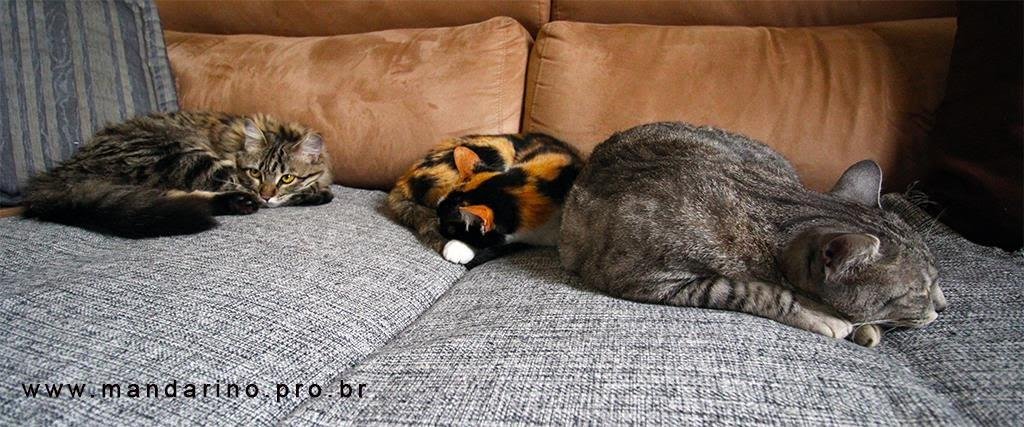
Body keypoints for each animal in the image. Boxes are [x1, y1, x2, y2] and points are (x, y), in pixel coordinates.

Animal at [22, 111, 334, 238]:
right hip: (181, 153)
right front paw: (315, 192)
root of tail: (67, 169)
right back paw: (241, 202)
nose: (266, 194)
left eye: (286, 177)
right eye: (255, 173)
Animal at [559, 122, 946, 347]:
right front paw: (818, 313)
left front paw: (866, 327)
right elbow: (751, 290)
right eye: (916, 293)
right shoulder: (648, 279)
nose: (941, 307)